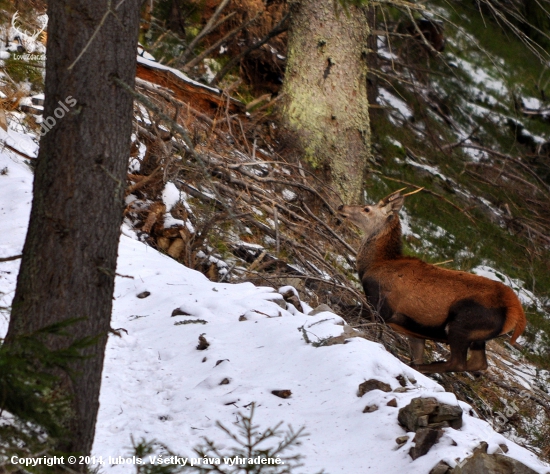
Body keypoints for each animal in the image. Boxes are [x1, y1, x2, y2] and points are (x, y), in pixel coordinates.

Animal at [338, 189, 528, 374]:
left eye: (366, 209)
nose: (341, 206)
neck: (375, 264)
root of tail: (516, 312)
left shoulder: (383, 306)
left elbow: (348, 308)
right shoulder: (413, 328)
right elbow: (417, 352)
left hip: (462, 324)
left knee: (458, 363)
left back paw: (423, 368)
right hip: (479, 335)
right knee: (479, 363)